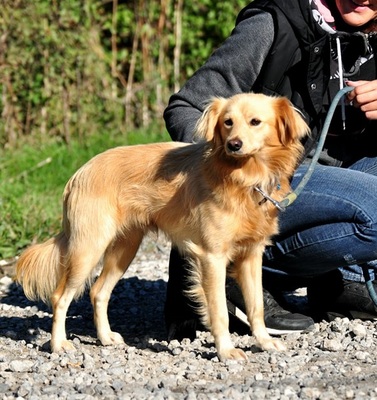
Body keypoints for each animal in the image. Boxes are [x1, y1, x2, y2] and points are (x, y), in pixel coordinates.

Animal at [15, 92, 308, 360]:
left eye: (255, 122)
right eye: (228, 122)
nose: (233, 144)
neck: (245, 178)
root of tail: (79, 173)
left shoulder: (251, 255)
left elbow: (256, 306)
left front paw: (265, 342)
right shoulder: (212, 257)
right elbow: (219, 313)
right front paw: (226, 351)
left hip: (124, 249)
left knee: (98, 292)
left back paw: (105, 337)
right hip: (88, 248)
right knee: (60, 297)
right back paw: (58, 344)